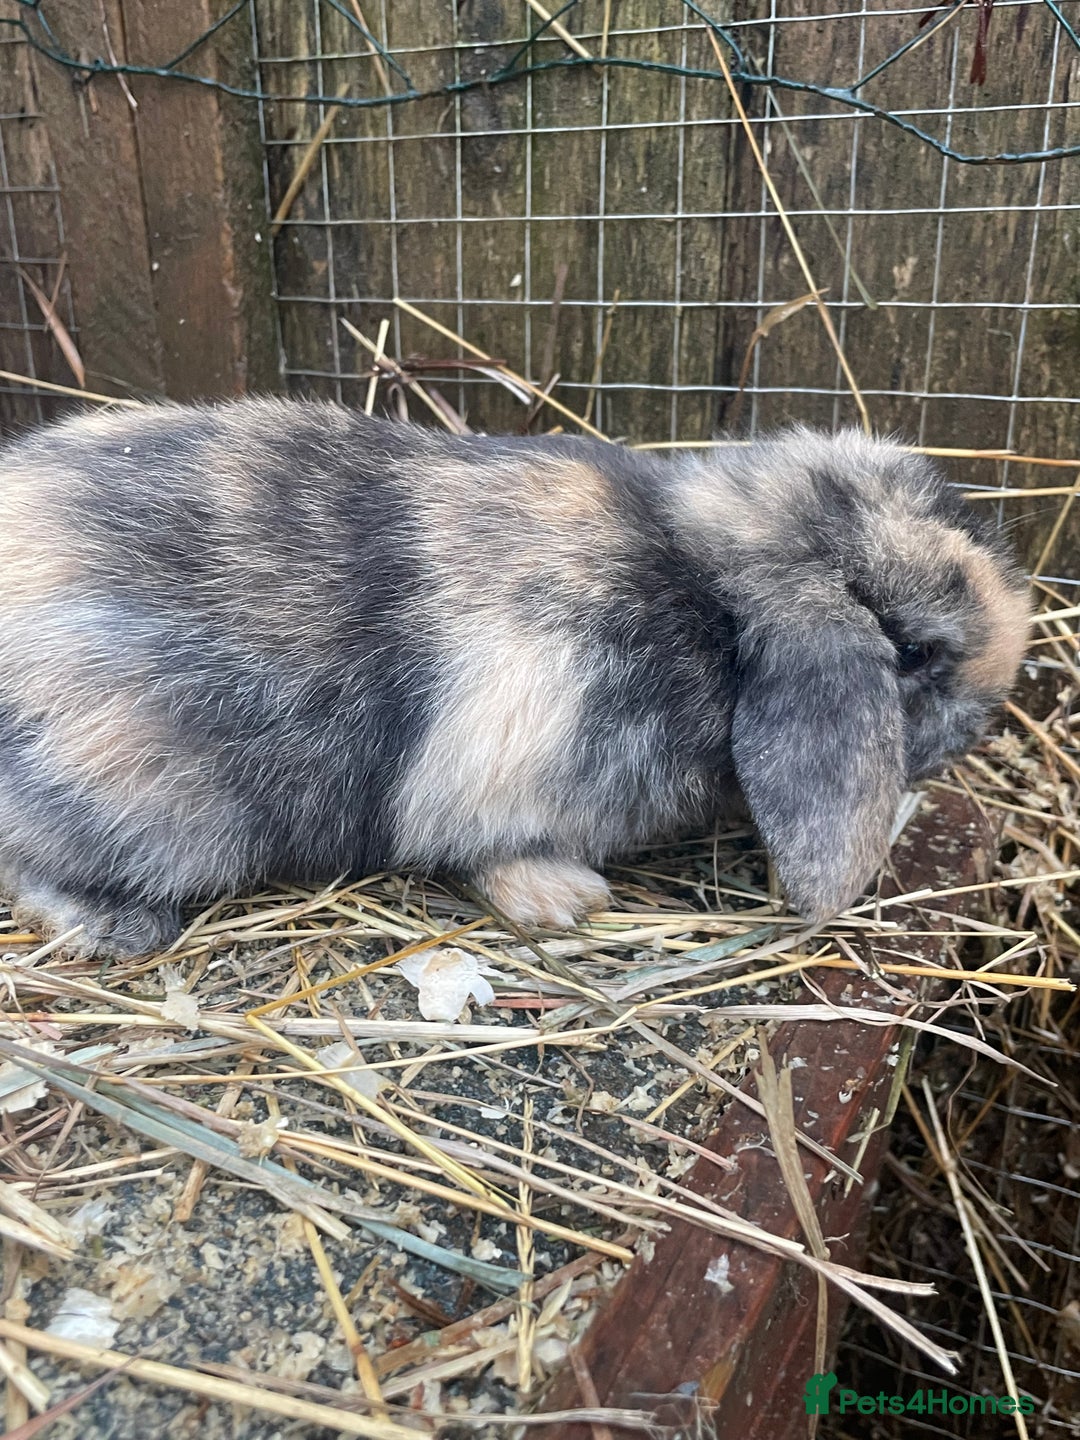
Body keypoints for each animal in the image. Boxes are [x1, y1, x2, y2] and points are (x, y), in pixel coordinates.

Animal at [0, 400, 1029, 958]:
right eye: (916, 653)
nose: (983, 723)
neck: (705, 593)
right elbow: (490, 852)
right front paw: (568, 899)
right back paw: (118, 927)